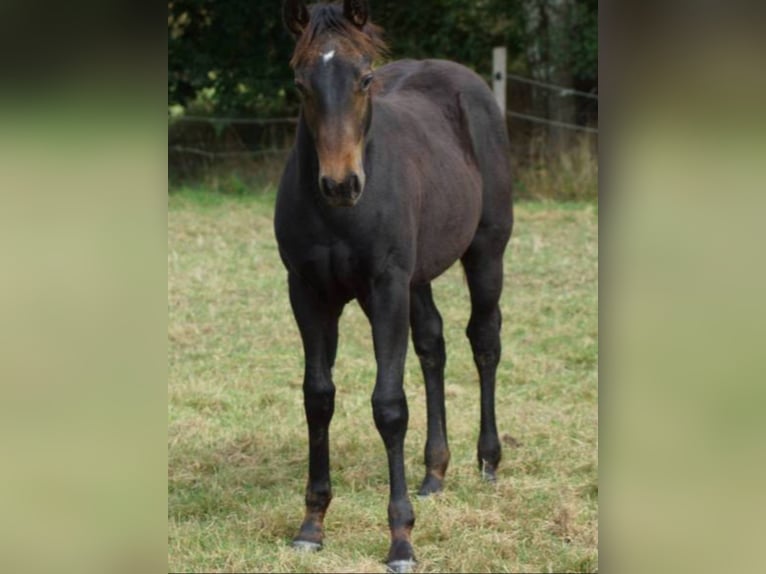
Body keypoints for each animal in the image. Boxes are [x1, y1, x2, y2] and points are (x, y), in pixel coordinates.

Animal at [274, 1, 514, 571]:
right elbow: (318, 397)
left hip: (486, 252)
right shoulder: (308, 293)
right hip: (418, 277)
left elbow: (388, 405)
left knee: (484, 340)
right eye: (299, 83)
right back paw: (434, 472)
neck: (339, 216)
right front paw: (312, 524)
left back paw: (487, 462)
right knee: (433, 344)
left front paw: (401, 539)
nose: (341, 184)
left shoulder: (384, 289)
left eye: (365, 78)